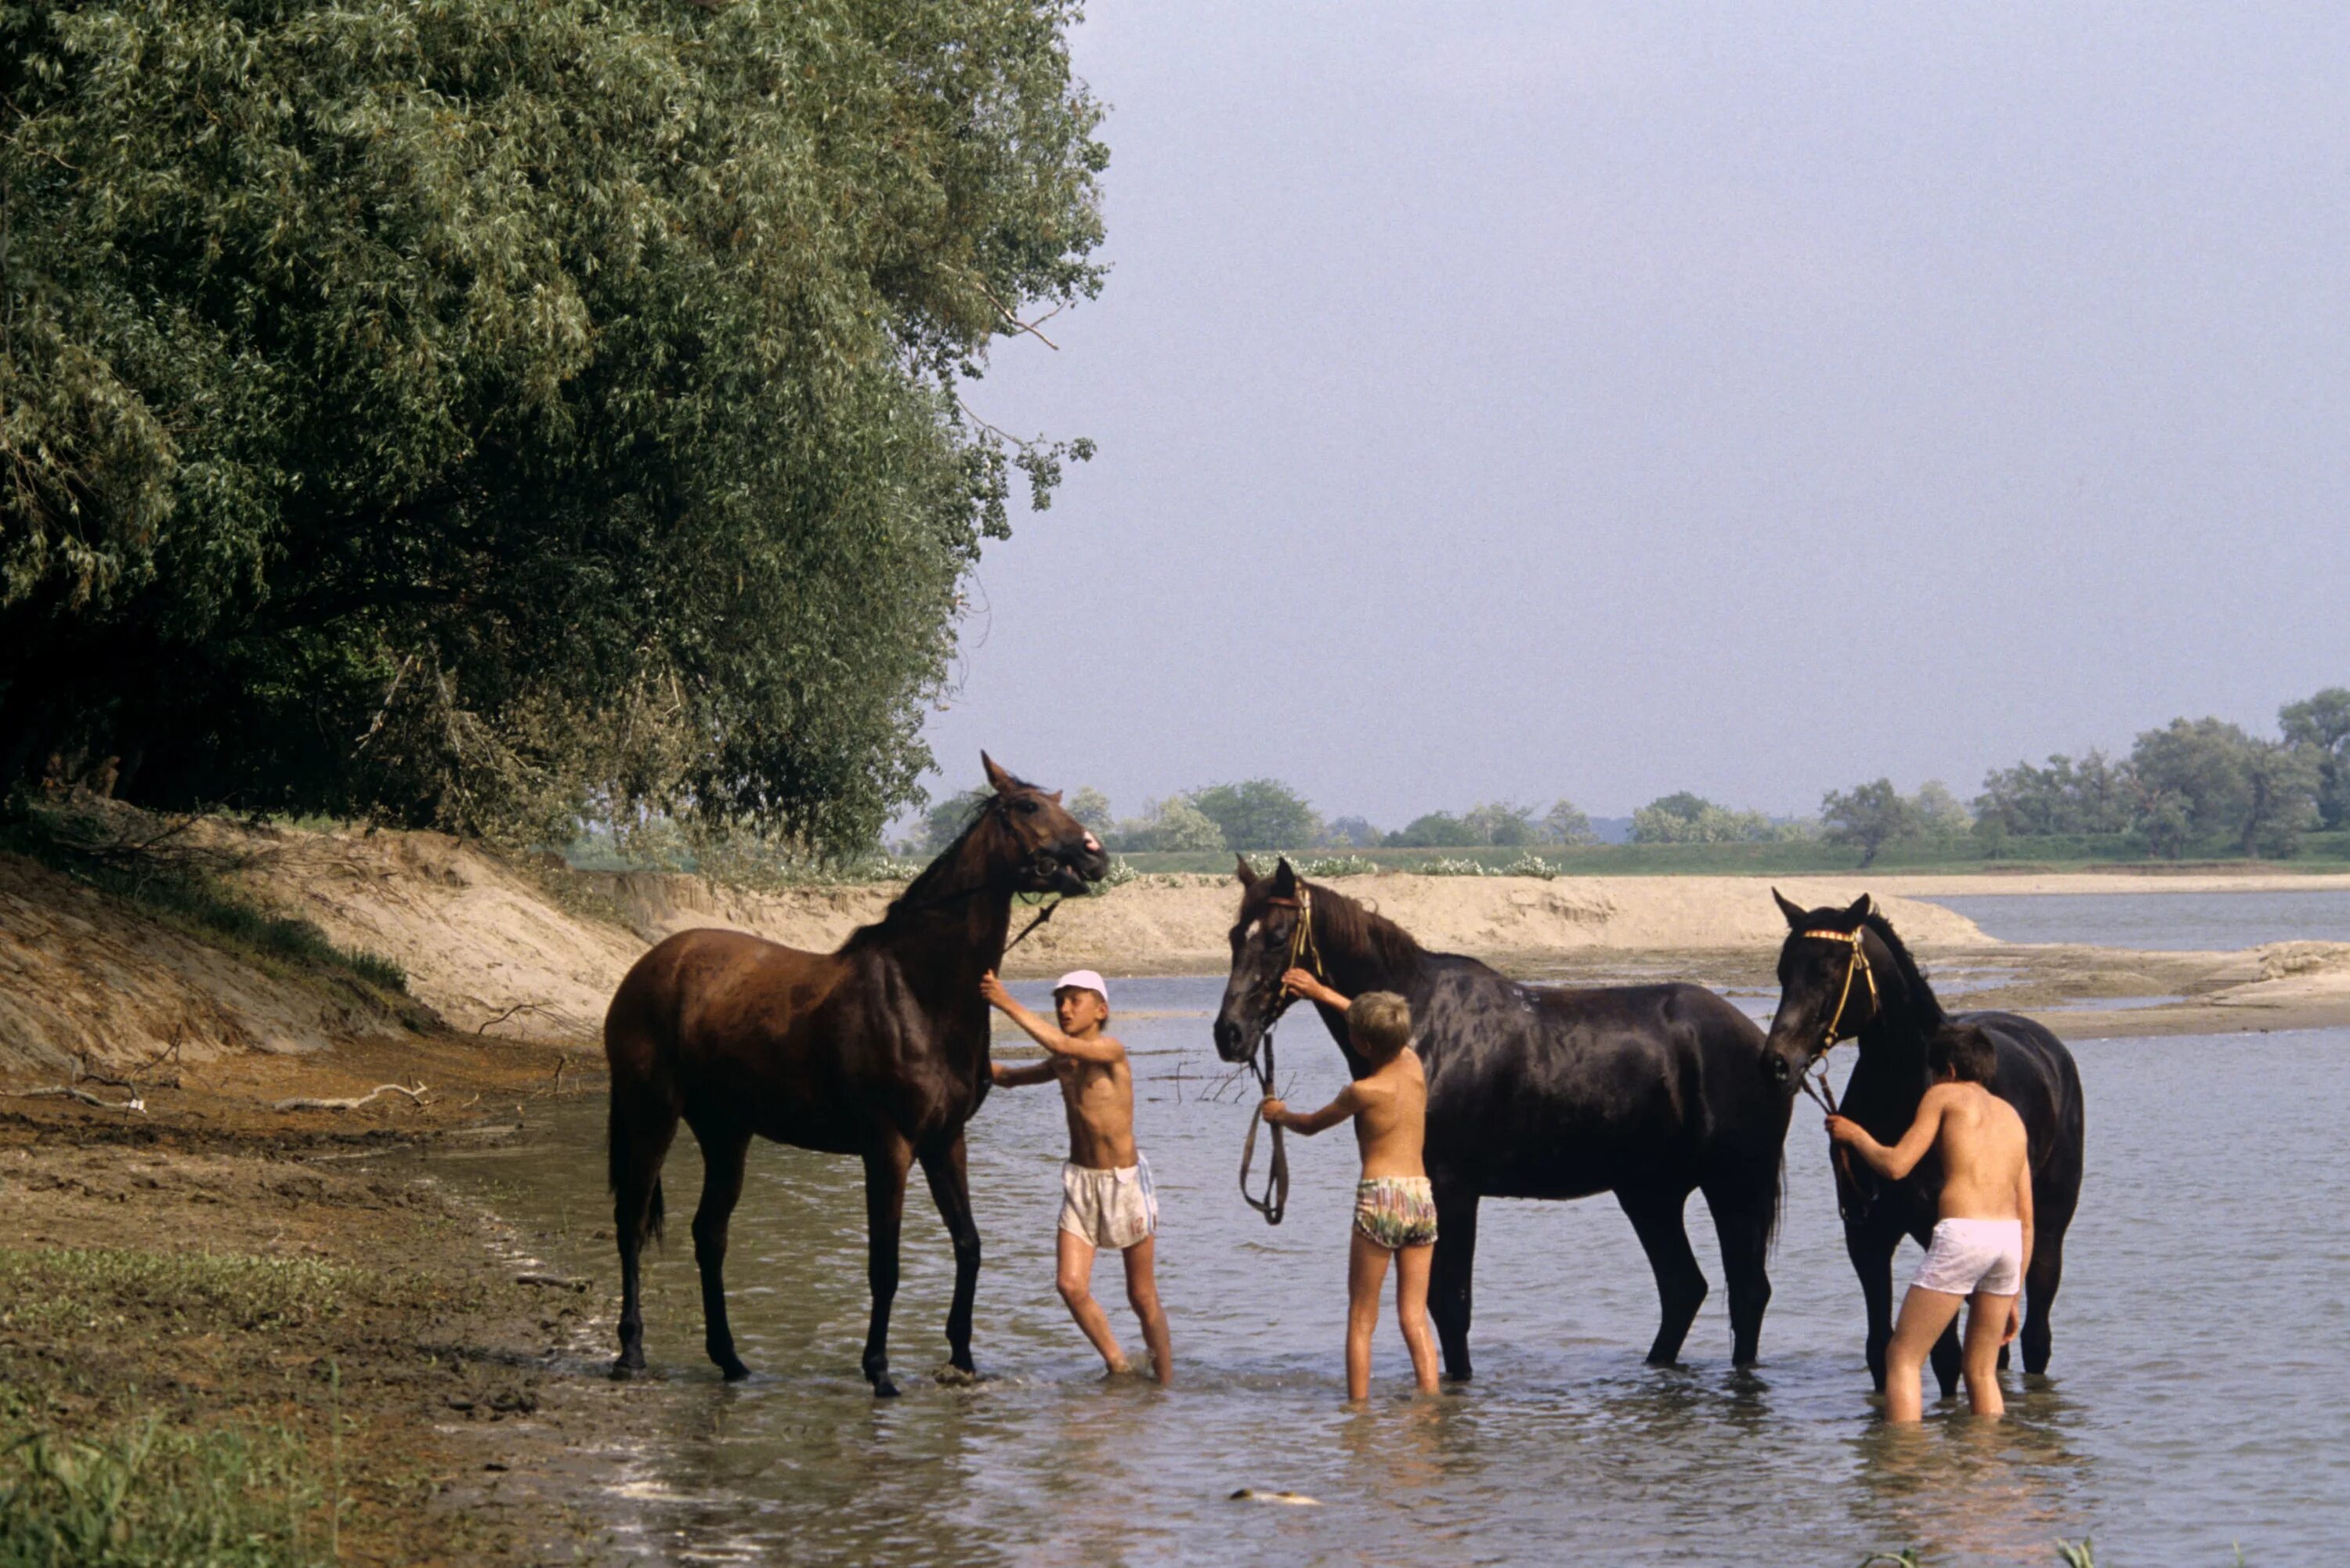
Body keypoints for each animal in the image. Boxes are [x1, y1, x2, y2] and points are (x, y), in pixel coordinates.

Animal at [611, 761, 1114, 1400]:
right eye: (1027, 807)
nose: (1095, 856)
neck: (919, 991)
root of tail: (648, 967)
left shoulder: (945, 1141)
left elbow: (969, 1246)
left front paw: (961, 1359)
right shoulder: (888, 1147)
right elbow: (885, 1263)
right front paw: (879, 1369)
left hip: (726, 1133)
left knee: (710, 1234)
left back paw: (731, 1361)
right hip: (651, 1113)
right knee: (631, 1223)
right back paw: (631, 1352)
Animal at [1222, 865, 1786, 1382]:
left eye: (1277, 937)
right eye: (1233, 936)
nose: (1229, 1033)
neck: (1425, 1025)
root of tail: (1761, 1045)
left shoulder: (1454, 1189)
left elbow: (1451, 1305)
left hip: (1734, 1187)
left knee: (1747, 1291)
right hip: (1651, 1194)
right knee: (1684, 1288)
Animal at [1767, 893, 2096, 1400]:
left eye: (1829, 969)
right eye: (1783, 971)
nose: (1778, 1063)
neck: (1903, 1094)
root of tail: (2049, 1047)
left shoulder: (1935, 1235)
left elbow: (1944, 1357)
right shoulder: (1866, 1236)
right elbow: (1881, 1349)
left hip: (2048, 1227)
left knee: (2036, 1335)